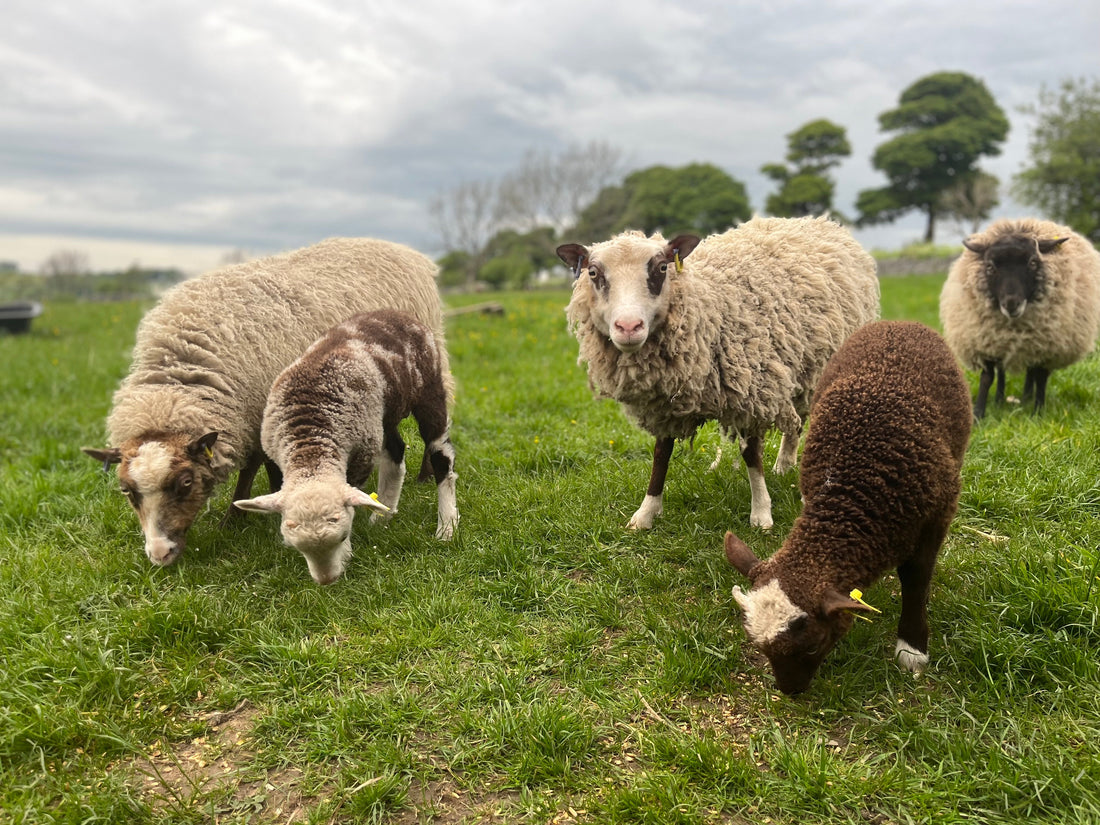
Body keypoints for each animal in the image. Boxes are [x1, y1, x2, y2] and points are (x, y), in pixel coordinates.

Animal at [233, 310, 458, 585]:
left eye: (341, 536)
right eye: (296, 547)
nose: (326, 581)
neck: (310, 444)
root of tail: (394, 314)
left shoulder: (361, 455)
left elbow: (351, 501)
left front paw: (347, 554)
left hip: (428, 390)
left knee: (441, 457)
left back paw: (446, 526)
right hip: (379, 417)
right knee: (396, 453)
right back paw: (382, 517)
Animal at [557, 215, 879, 531]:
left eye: (661, 267)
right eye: (593, 273)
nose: (628, 327)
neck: (707, 308)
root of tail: (819, 221)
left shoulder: (754, 390)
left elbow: (751, 455)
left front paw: (761, 514)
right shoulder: (665, 404)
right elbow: (661, 455)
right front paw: (645, 514)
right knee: (796, 421)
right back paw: (784, 464)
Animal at [725, 321, 971, 695]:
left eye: (812, 646)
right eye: (760, 647)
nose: (791, 692)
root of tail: (897, 323)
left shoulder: (936, 515)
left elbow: (916, 578)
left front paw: (912, 648)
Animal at [939, 217, 1100, 419]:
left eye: (1033, 262)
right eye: (990, 266)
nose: (1011, 303)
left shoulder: (1047, 346)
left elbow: (1040, 376)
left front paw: (1037, 413)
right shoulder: (985, 341)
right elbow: (987, 377)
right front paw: (978, 414)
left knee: (1031, 371)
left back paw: (1027, 398)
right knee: (1001, 371)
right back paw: (1000, 399)